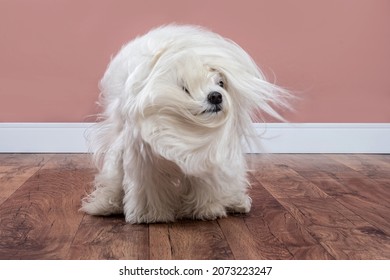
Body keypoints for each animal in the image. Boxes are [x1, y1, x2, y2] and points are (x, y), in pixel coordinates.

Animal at [81, 25, 290, 224]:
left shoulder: (207, 159)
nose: (216, 96)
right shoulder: (143, 160)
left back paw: (236, 202)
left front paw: (206, 210)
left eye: (221, 83)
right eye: (185, 88)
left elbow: (206, 183)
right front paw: (151, 215)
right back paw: (107, 204)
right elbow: (149, 187)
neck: (184, 128)